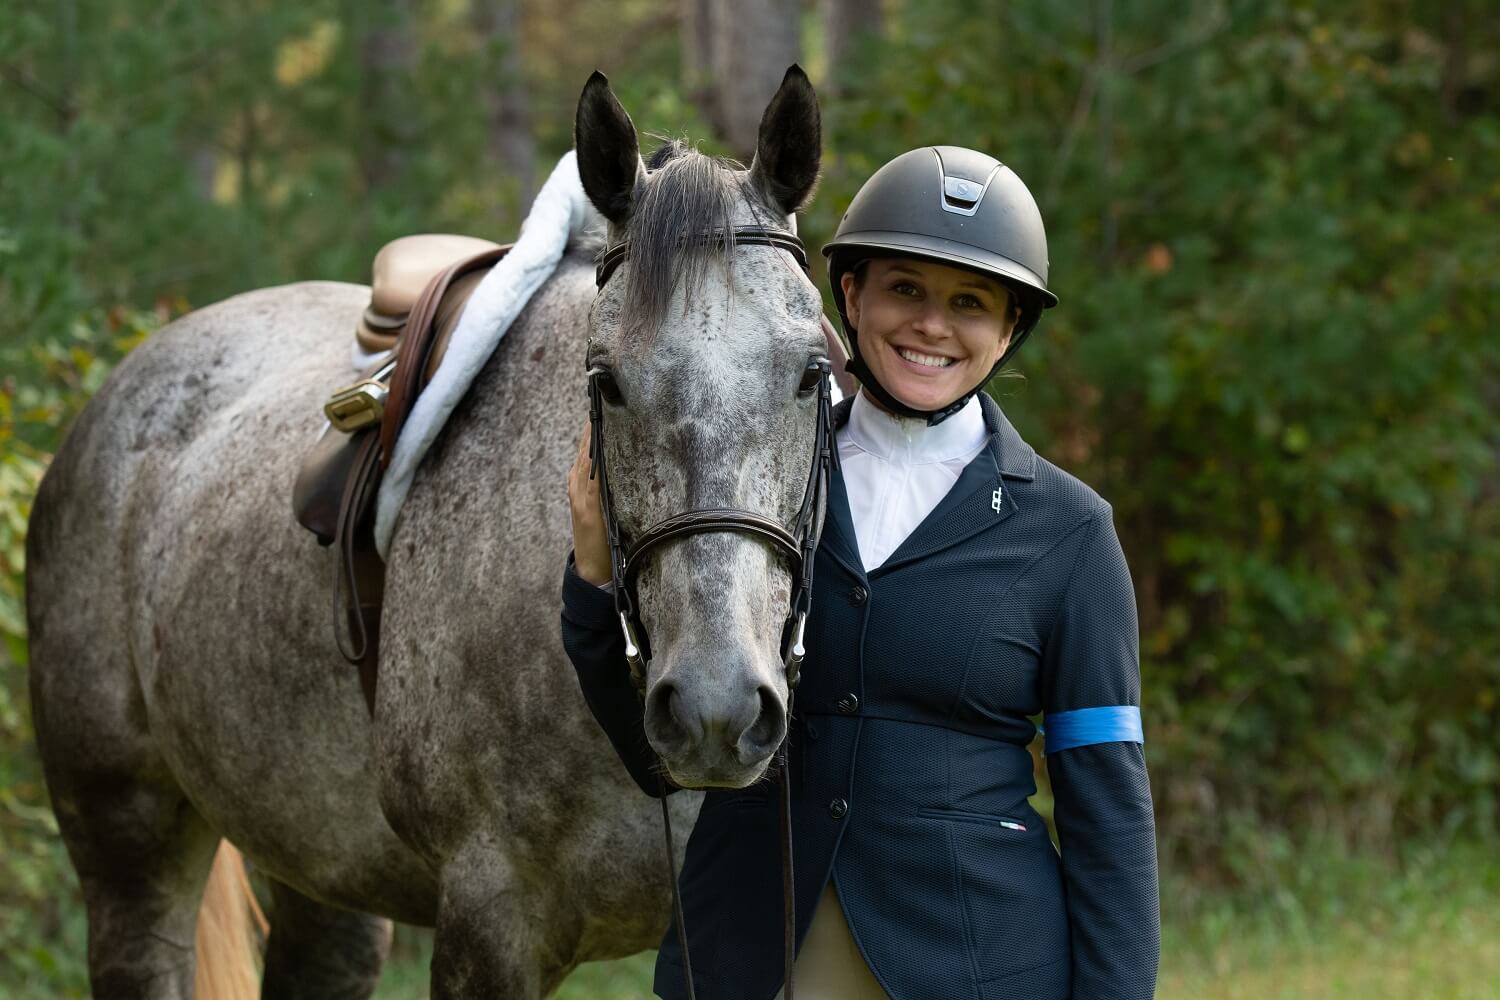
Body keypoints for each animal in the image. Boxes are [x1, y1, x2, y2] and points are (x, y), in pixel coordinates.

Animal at [26, 66, 822, 995]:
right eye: (605, 381)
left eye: (815, 373)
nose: (714, 706)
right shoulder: (490, 921)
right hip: (128, 843)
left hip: (324, 867)